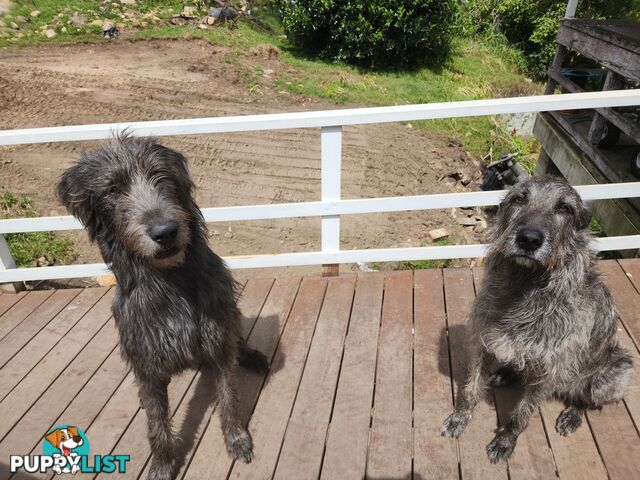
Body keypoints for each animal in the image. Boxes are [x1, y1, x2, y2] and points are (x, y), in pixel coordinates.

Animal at [57, 135, 268, 480]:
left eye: (161, 175)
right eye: (112, 189)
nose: (165, 231)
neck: (171, 281)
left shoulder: (217, 338)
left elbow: (228, 395)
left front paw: (236, 438)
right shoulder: (146, 361)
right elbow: (157, 422)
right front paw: (162, 463)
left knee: (238, 337)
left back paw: (253, 356)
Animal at [442, 177, 632, 464]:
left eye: (564, 208)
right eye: (518, 199)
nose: (529, 239)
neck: (526, 284)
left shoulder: (548, 371)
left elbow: (522, 413)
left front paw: (505, 441)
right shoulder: (483, 341)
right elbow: (469, 388)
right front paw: (459, 418)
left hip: (615, 374)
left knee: (587, 397)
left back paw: (572, 414)